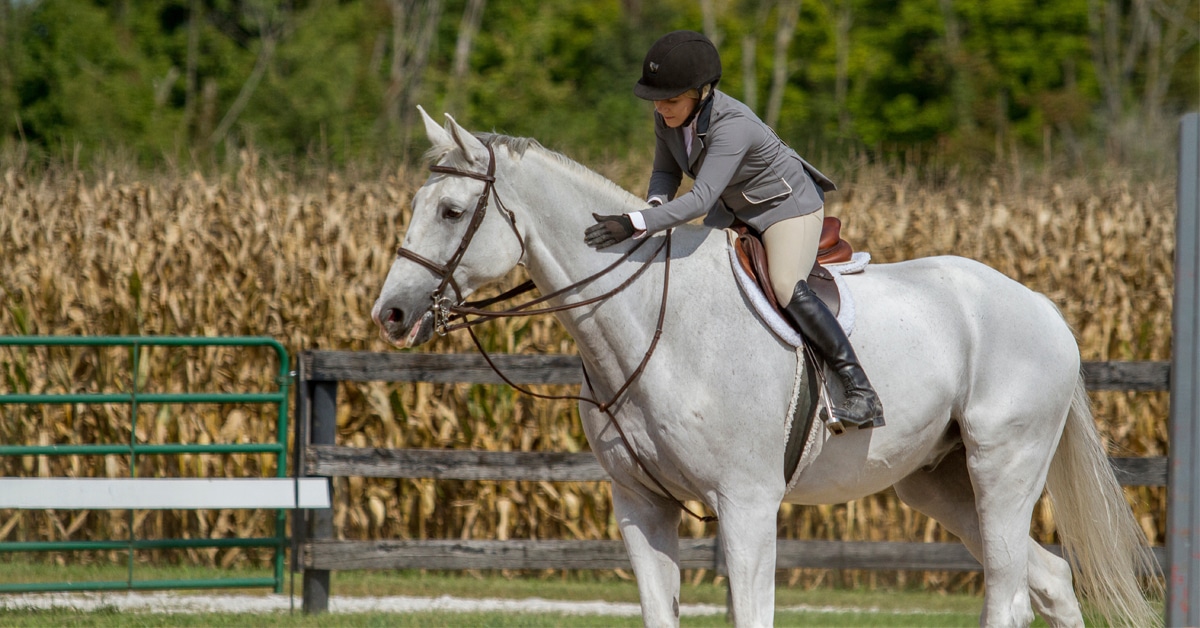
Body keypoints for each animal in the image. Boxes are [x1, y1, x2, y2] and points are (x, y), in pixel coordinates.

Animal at [371, 107, 1160, 627]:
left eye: (450, 210)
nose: (392, 315)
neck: (652, 321)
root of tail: (1042, 307)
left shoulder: (747, 505)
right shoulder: (641, 505)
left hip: (1005, 465)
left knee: (1009, 590)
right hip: (938, 482)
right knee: (1050, 579)